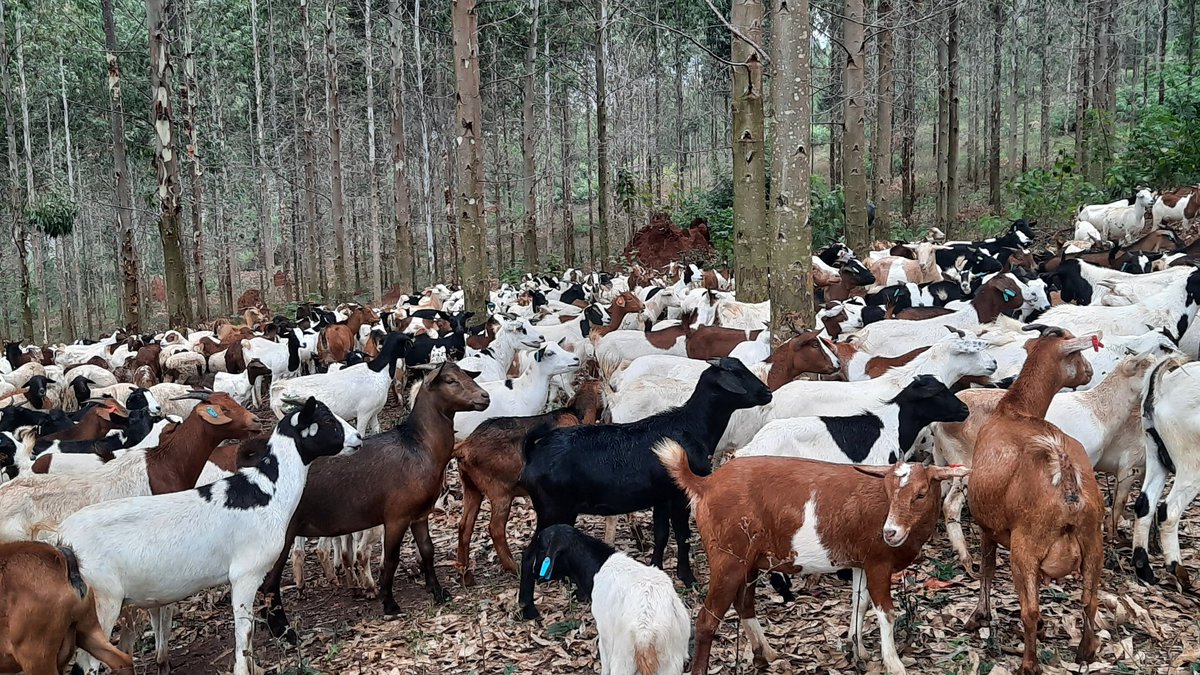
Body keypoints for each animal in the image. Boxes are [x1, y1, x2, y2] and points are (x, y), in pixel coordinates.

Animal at [528, 525, 689, 675]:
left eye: (541, 548)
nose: (534, 572)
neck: (598, 565)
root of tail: (646, 635)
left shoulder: (604, 634)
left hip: (623, 659)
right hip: (670, 663)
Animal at [657, 441, 967, 674]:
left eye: (921, 494)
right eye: (889, 492)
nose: (890, 532)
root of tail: (705, 484)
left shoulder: (862, 561)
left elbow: (860, 603)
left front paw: (858, 650)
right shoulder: (879, 562)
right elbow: (885, 611)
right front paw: (893, 664)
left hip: (749, 559)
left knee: (744, 602)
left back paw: (766, 653)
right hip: (727, 556)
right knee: (707, 619)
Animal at [966, 325, 1103, 675]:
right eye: (1076, 354)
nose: (1090, 371)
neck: (1015, 410)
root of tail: (1067, 489)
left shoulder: (988, 527)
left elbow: (987, 568)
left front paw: (979, 616)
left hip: (1024, 546)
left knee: (1030, 609)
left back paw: (1029, 664)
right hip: (1094, 543)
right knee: (1089, 600)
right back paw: (1086, 651)